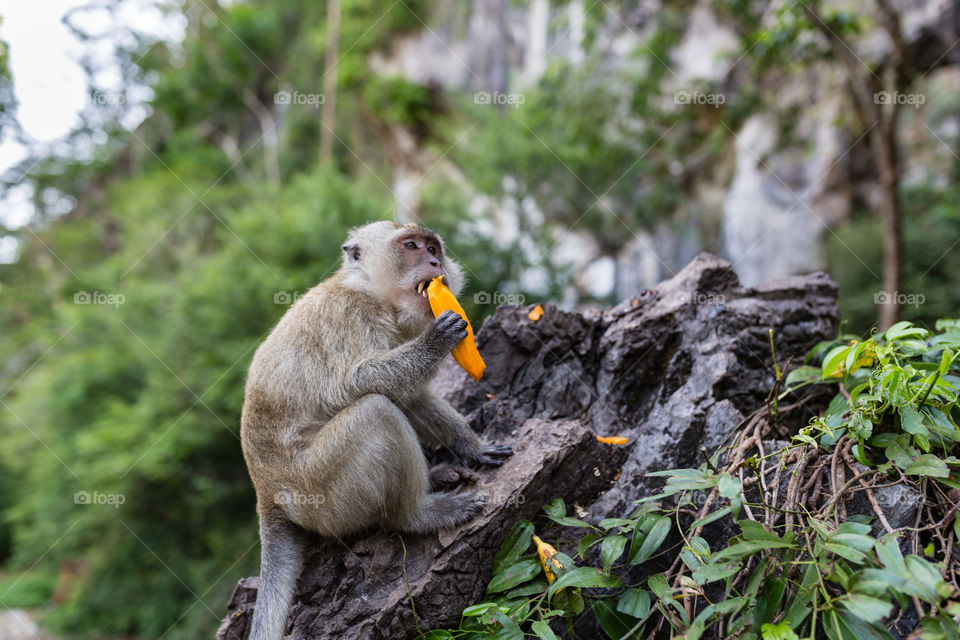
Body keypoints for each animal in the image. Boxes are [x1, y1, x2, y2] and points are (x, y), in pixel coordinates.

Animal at [238, 221, 510, 640]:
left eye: (433, 248)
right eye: (411, 246)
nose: (434, 262)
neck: (372, 295)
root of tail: (267, 493)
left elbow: (411, 396)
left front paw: (471, 446)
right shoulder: (348, 316)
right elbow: (352, 385)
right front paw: (435, 342)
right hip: (322, 494)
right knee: (375, 412)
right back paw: (418, 514)